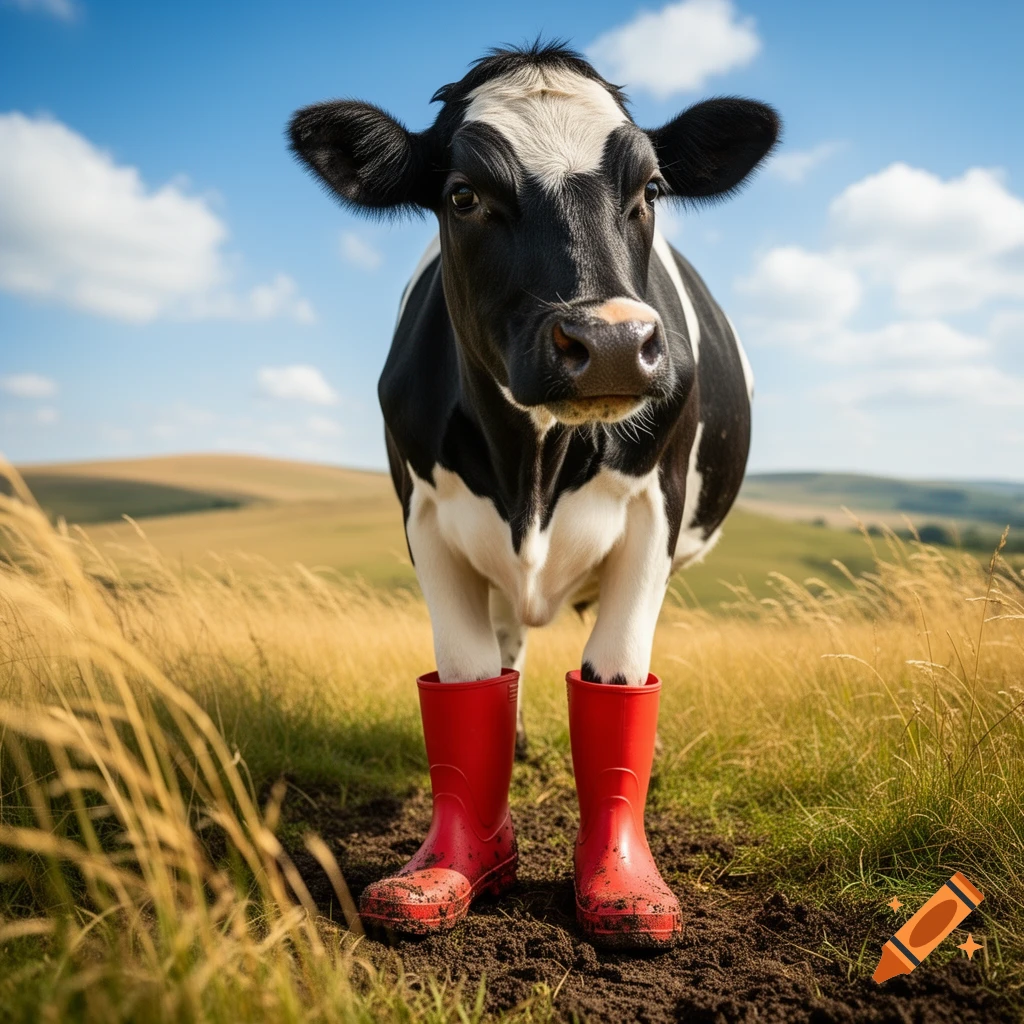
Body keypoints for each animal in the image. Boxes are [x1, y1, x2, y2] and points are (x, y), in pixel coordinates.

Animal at [289, 41, 778, 948]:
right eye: (463, 194)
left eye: (649, 190)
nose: (612, 343)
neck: (535, 469)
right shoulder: (427, 518)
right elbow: (468, 675)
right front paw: (453, 864)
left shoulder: (653, 517)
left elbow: (616, 678)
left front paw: (620, 880)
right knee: (507, 646)